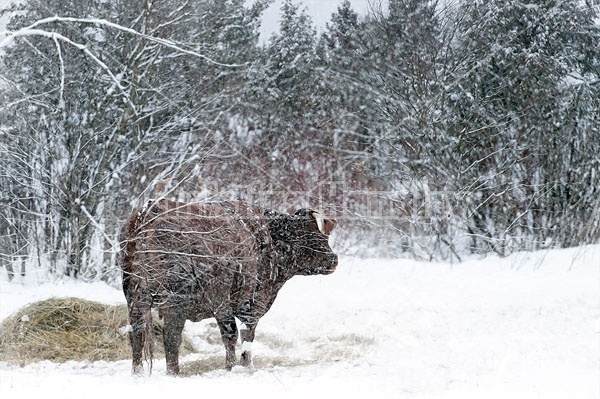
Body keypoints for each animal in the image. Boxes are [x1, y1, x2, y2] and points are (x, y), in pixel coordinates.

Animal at [118, 198, 338, 376]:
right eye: (311, 236)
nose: (334, 259)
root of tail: (149, 211)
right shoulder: (246, 303)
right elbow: (241, 335)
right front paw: (239, 367)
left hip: (135, 296)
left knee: (136, 333)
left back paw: (137, 373)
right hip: (176, 299)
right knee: (171, 336)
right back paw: (173, 374)